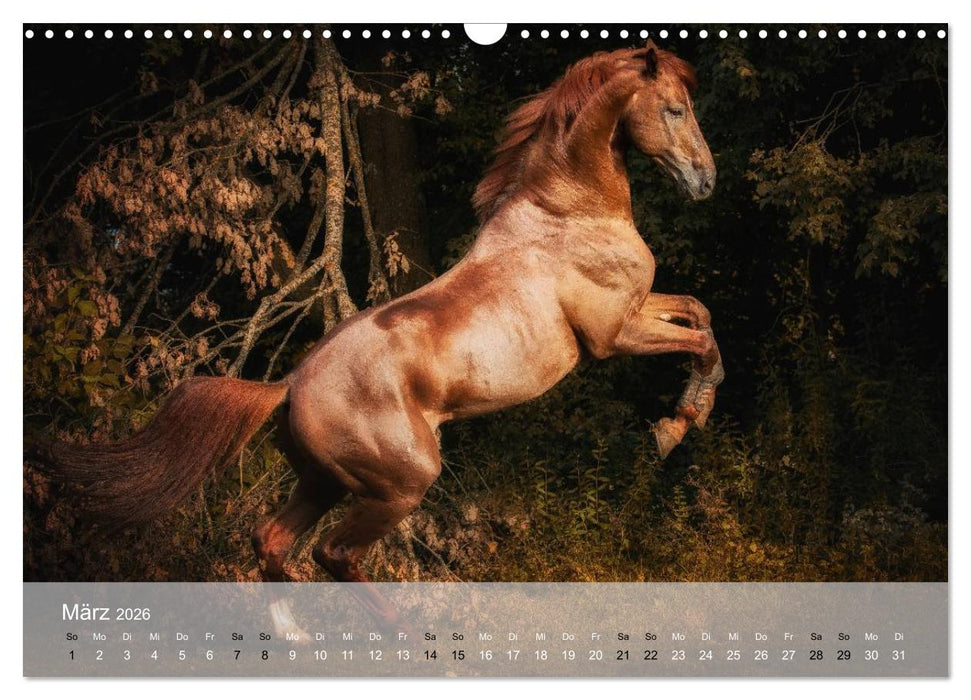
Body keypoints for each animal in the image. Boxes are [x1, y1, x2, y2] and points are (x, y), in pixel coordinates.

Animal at [45, 42, 723, 615]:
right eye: (674, 108)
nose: (705, 180)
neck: (567, 212)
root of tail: (287, 387)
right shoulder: (613, 336)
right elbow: (703, 341)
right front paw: (676, 426)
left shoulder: (639, 309)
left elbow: (700, 314)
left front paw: (681, 419)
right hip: (399, 485)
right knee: (333, 552)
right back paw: (404, 639)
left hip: (320, 483)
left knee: (272, 542)